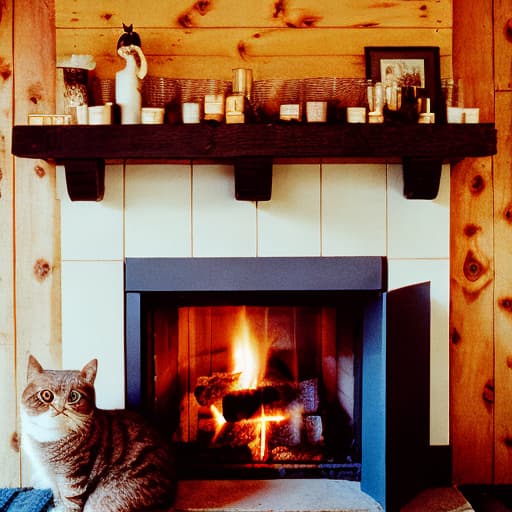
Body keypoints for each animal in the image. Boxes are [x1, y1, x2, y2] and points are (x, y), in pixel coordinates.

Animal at [20, 356, 176, 512]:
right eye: (46, 395)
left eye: (73, 396)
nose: (60, 408)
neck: (49, 437)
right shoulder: (52, 480)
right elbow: (58, 498)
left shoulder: (73, 479)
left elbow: (70, 502)